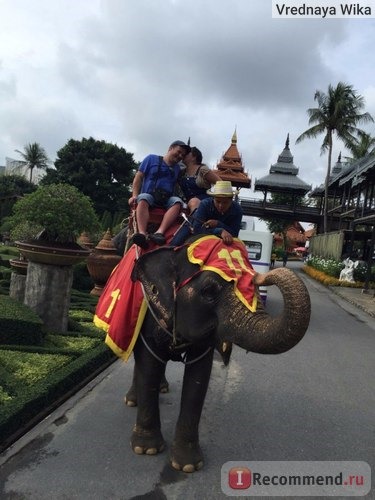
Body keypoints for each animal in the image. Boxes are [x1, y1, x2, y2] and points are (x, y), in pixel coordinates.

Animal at [126, 236, 312, 470]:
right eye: (208, 291)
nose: (263, 274)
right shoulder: (150, 314)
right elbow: (149, 363)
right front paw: (147, 450)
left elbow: (199, 378)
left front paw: (188, 465)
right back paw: (132, 400)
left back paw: (162, 388)